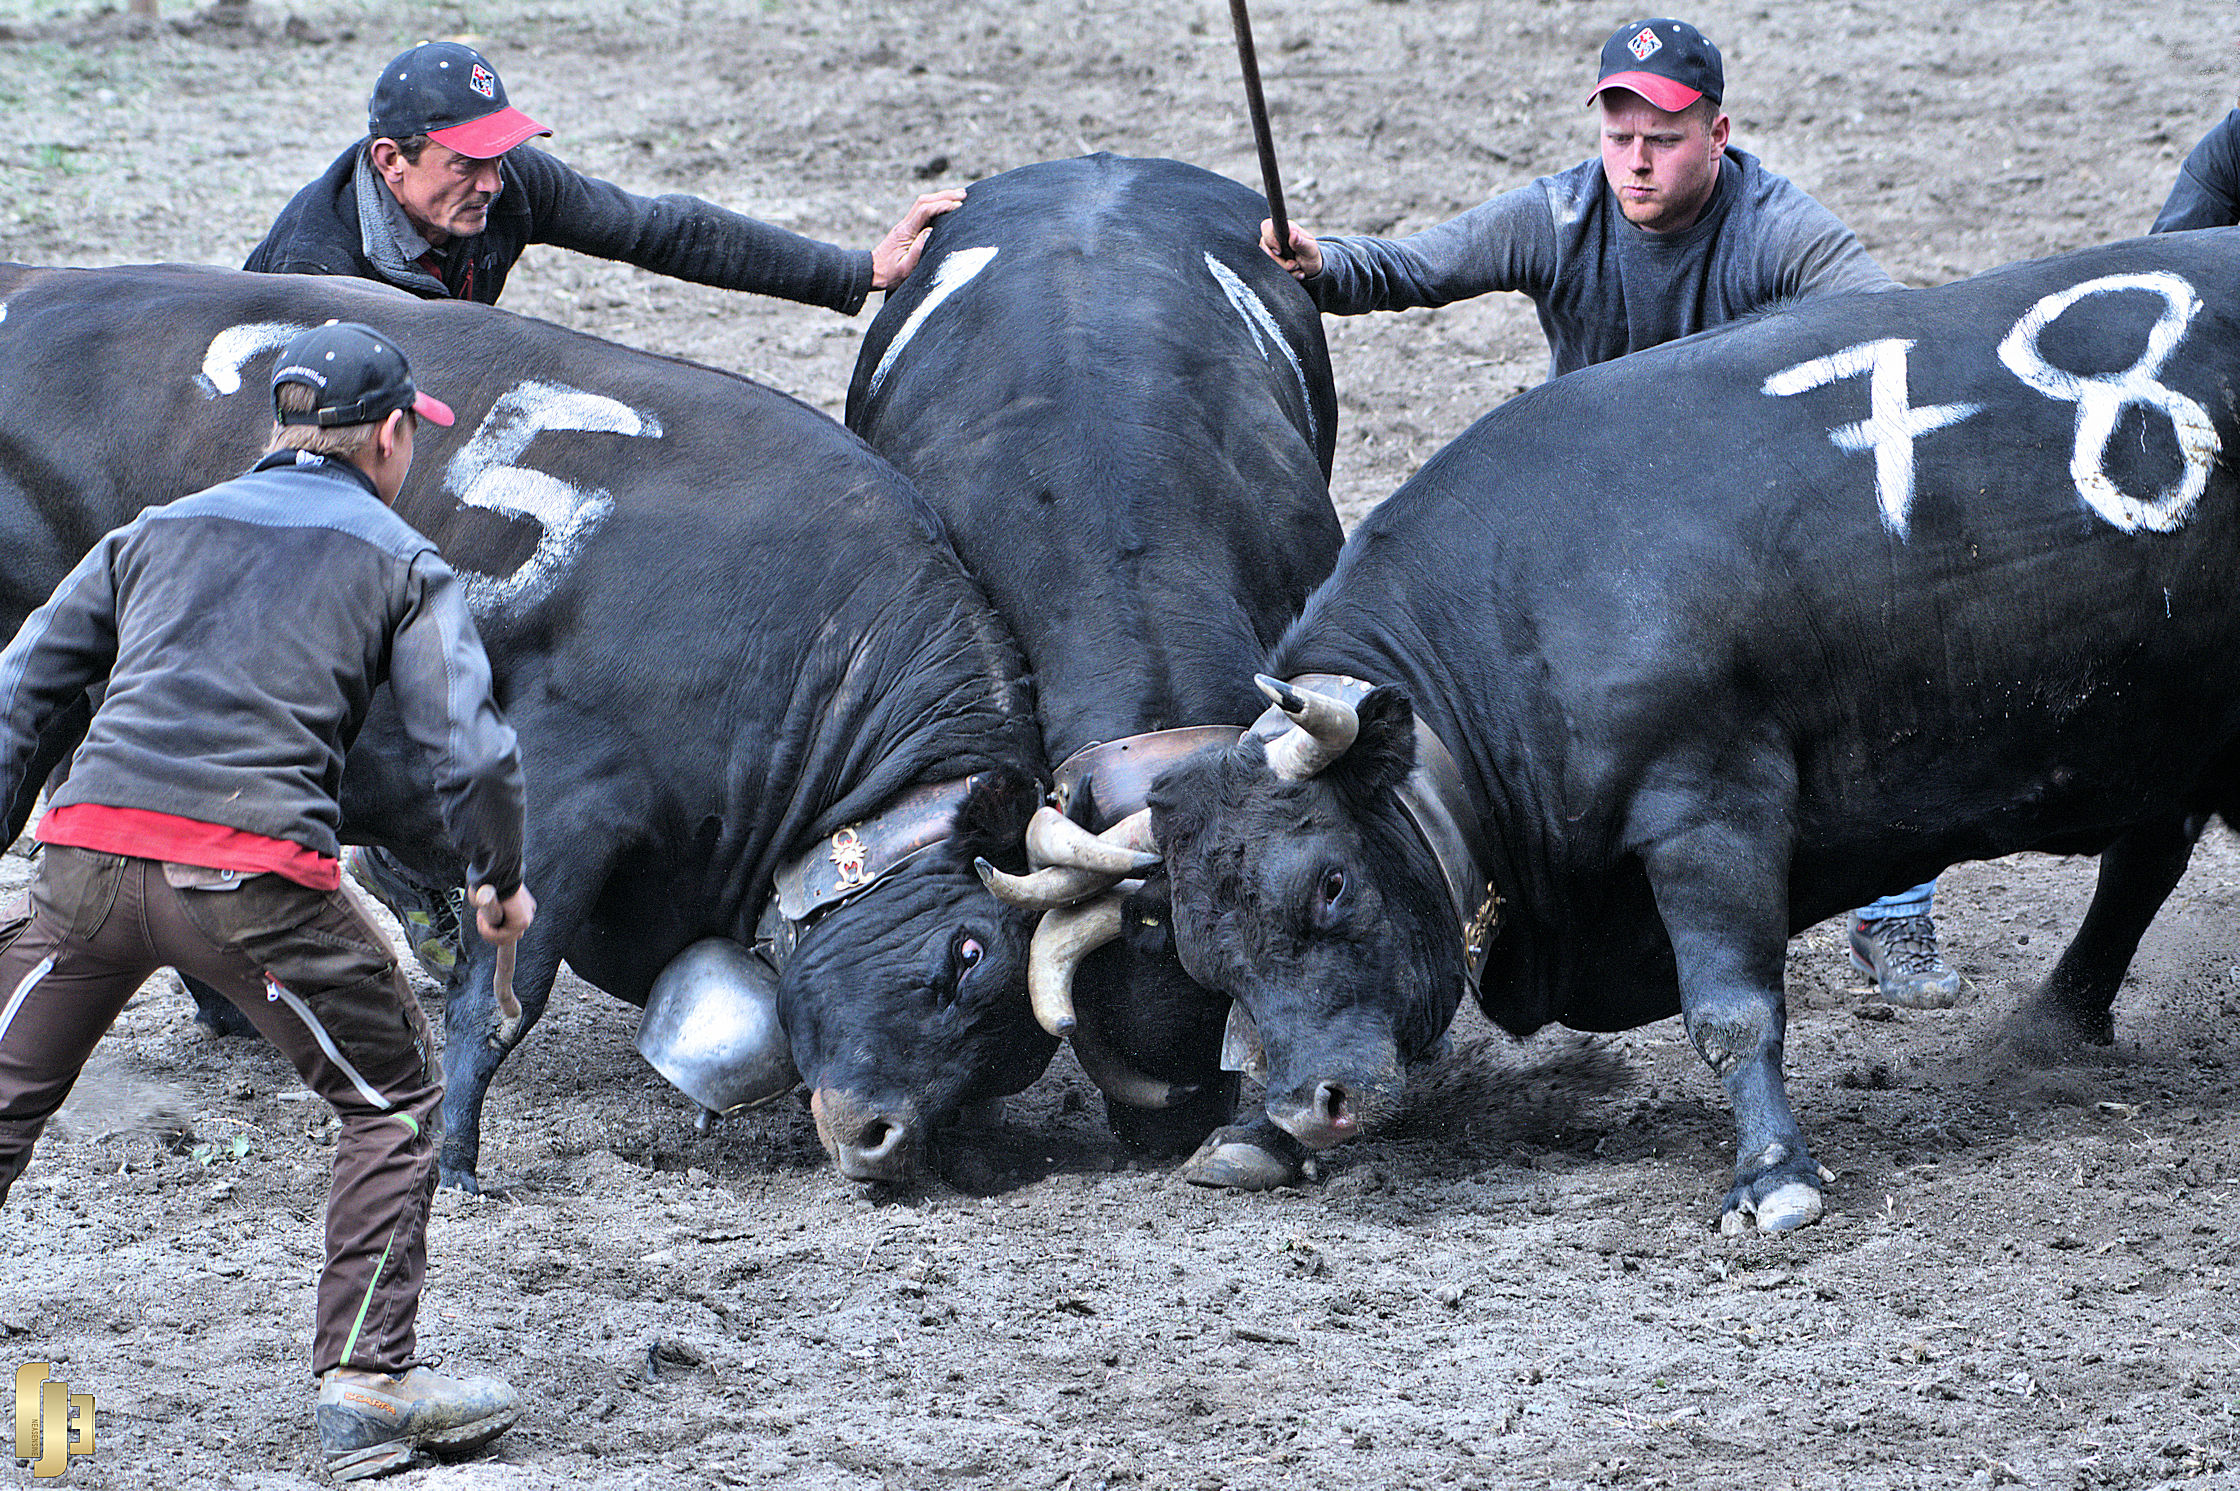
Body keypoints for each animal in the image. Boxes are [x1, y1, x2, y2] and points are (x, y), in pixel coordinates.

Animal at [0, 264, 1057, 1182]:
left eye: (1014, 1063)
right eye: (968, 953)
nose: (886, 1142)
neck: (816, 643)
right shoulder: (562, 804)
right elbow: (502, 999)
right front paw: (457, 1160)